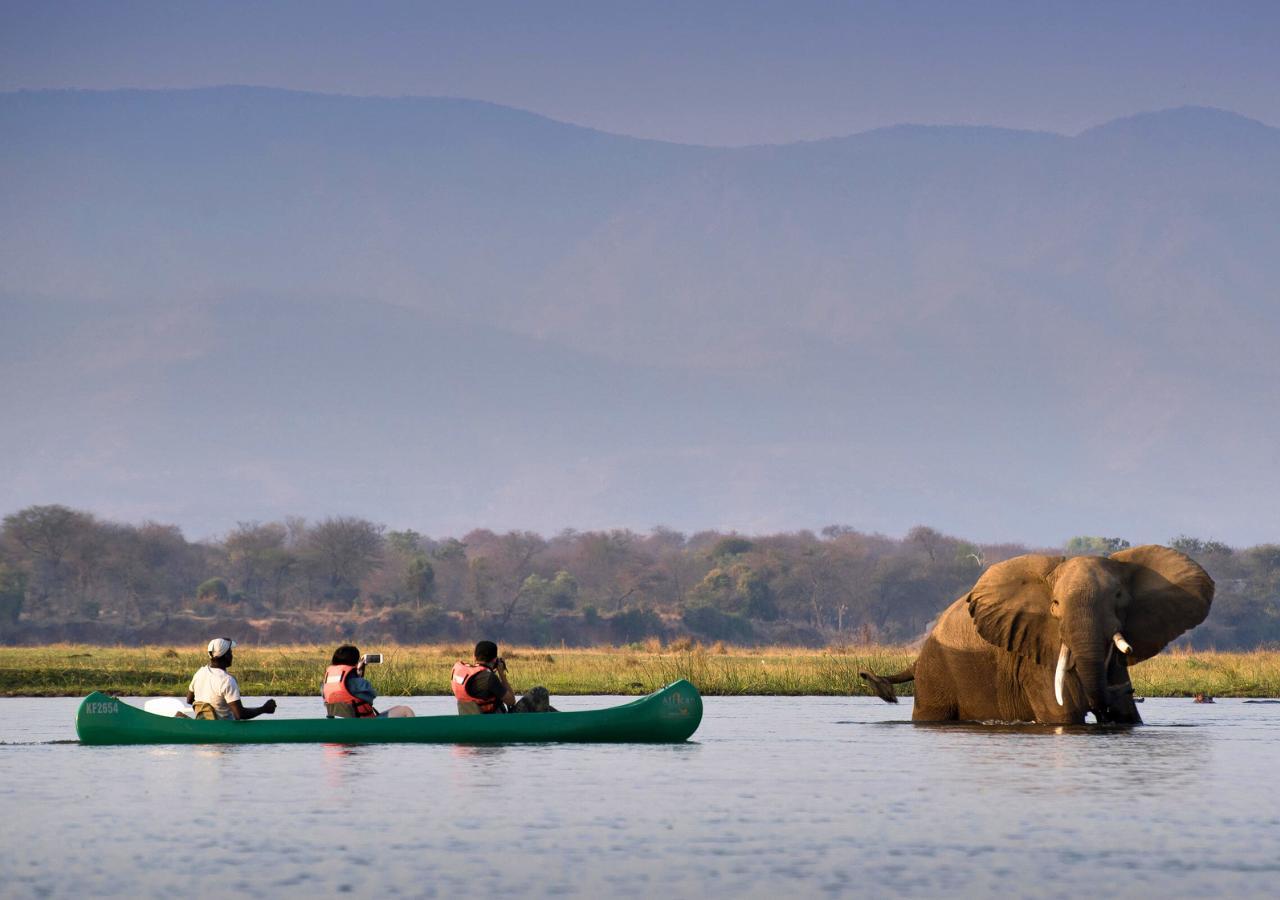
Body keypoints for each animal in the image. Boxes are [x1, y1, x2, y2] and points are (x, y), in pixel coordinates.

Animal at [859, 545, 1213, 724]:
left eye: (1119, 598)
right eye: (1055, 604)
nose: (1123, 691)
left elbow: (1130, 719)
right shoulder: (1035, 653)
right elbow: (1063, 715)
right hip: (937, 672)